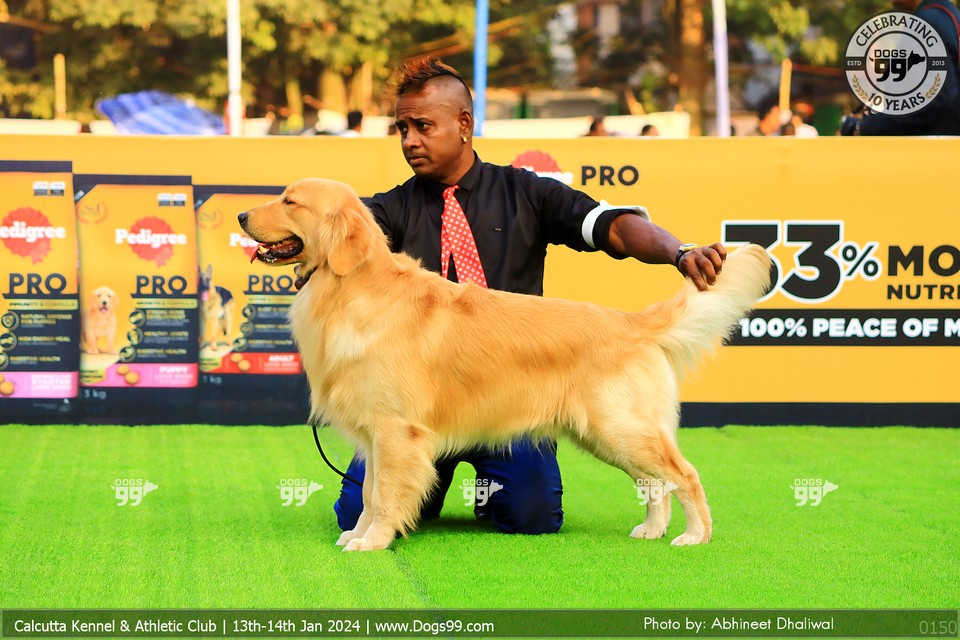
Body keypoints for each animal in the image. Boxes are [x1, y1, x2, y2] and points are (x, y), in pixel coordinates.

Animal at [239, 178, 771, 551]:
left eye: (289, 201)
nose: (242, 214)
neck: (350, 289)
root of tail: (631, 321)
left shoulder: (395, 431)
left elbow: (385, 494)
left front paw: (373, 542)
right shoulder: (375, 436)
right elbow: (367, 493)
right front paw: (360, 534)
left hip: (621, 426)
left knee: (684, 474)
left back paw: (694, 536)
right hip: (607, 433)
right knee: (653, 481)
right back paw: (652, 530)